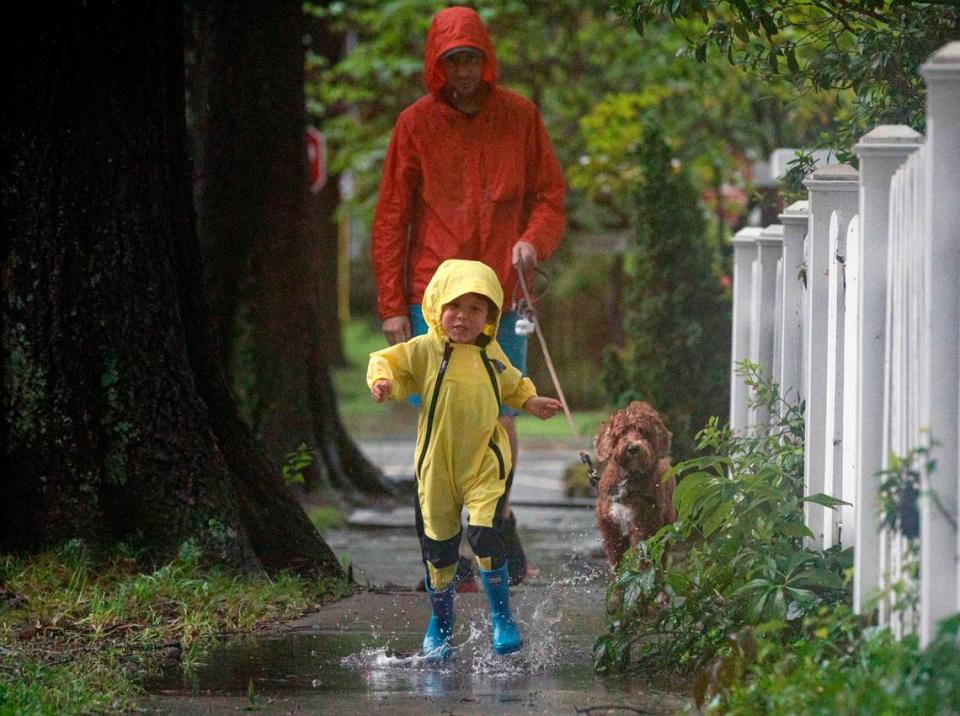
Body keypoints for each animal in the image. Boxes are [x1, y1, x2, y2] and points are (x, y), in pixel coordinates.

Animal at [592, 400, 676, 568]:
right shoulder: (611, 530)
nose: (633, 448)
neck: (628, 478)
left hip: (665, 529)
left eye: (643, 431)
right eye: (621, 433)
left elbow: (643, 560)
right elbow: (615, 562)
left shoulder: (645, 527)